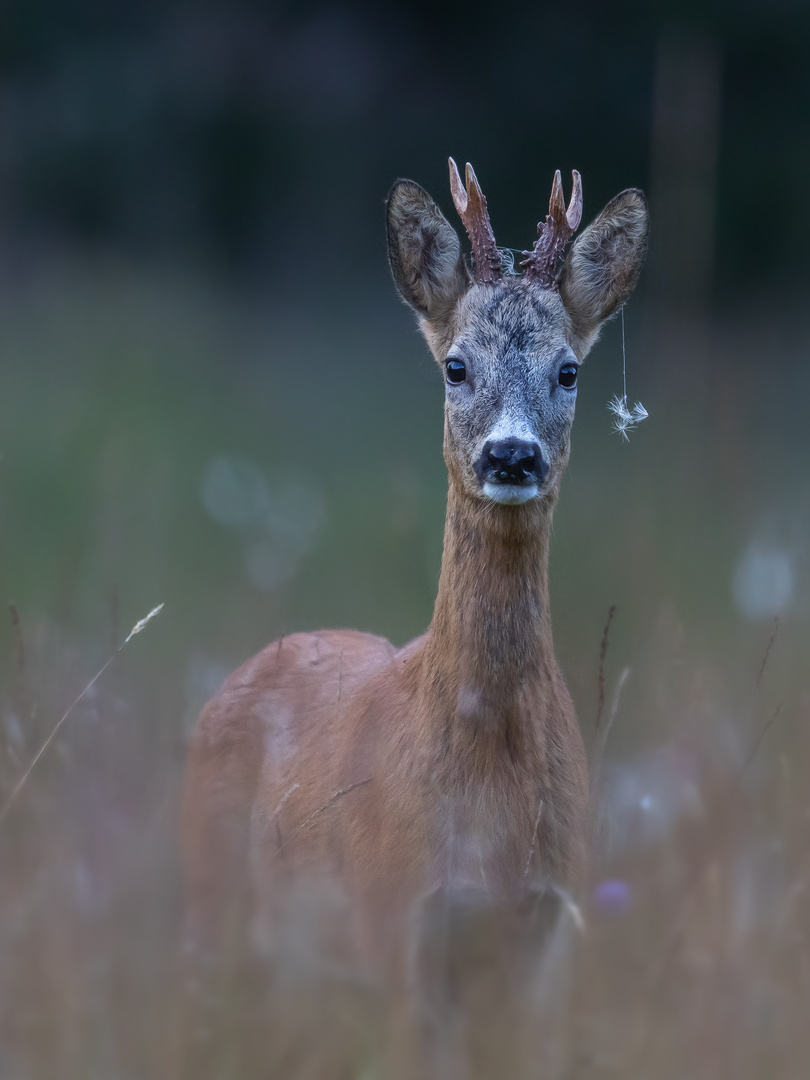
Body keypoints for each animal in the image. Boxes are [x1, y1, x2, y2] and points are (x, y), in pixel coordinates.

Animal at [180, 162, 652, 980]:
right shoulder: (395, 913)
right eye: (456, 366)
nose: (511, 455)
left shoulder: (551, 929)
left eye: (568, 371)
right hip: (207, 902)